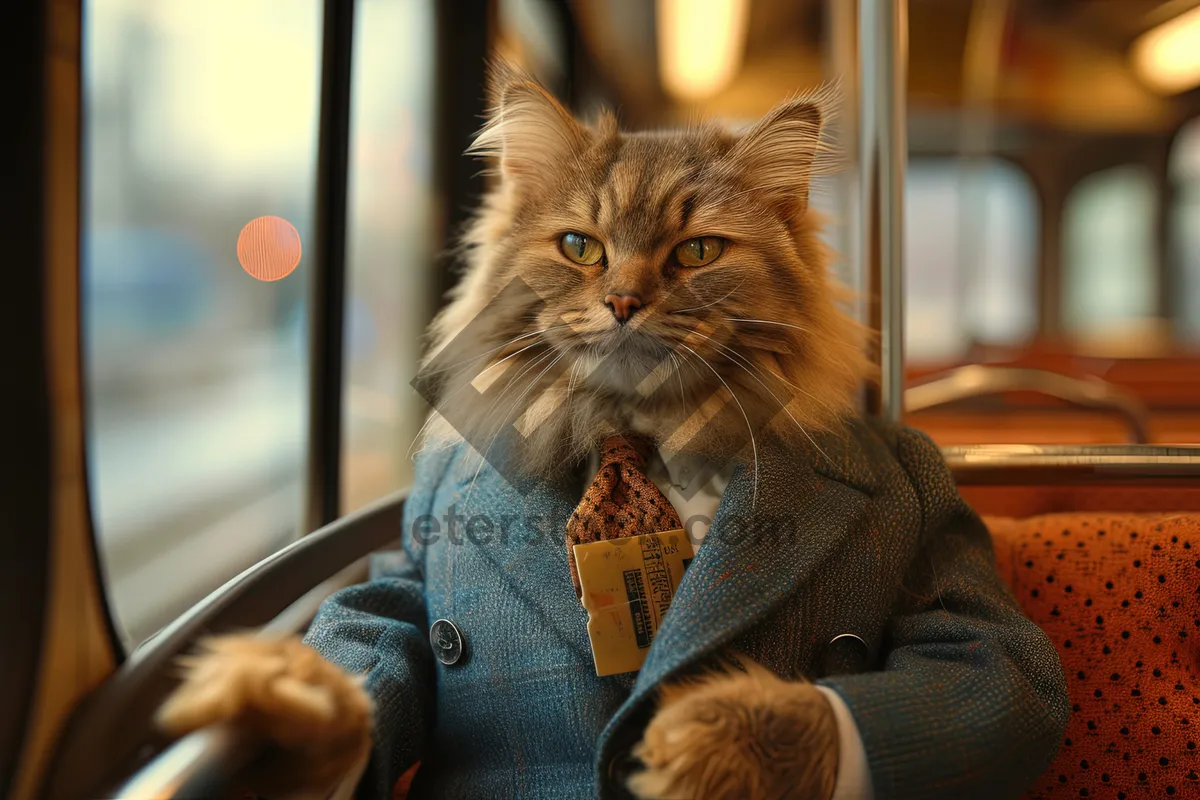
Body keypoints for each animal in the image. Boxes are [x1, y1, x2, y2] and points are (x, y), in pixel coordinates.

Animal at [159, 64, 873, 800]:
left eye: (697, 251)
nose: (622, 302)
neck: (623, 427)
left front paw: (705, 738)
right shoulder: (403, 572)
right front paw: (276, 704)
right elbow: (365, 637)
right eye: (581, 247)